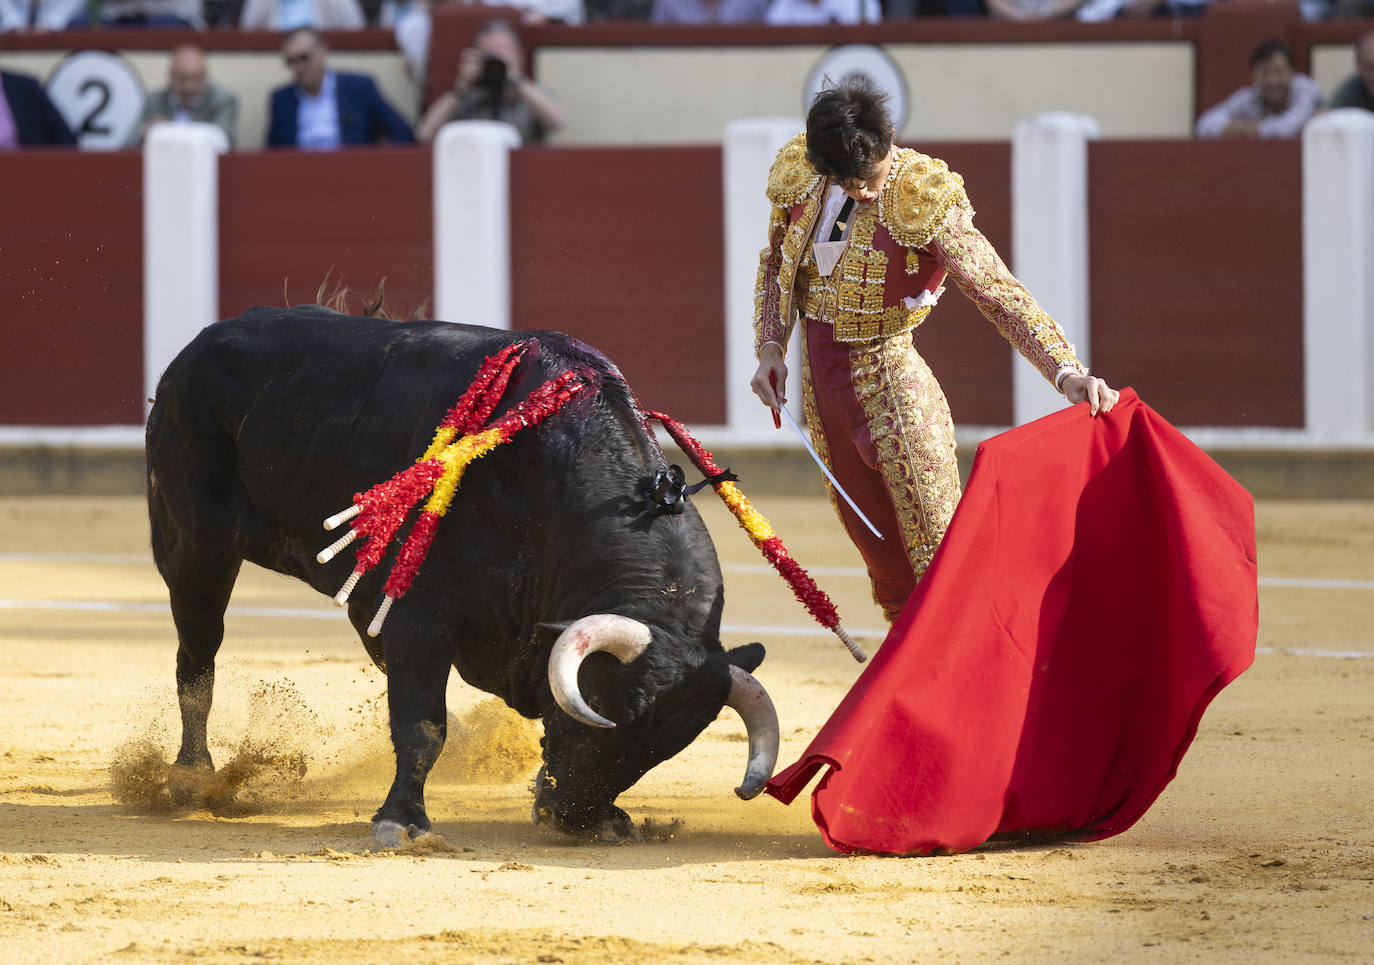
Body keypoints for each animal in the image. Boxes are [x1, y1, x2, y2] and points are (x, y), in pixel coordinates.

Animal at [147, 310, 785, 846]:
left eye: (663, 747)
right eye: (600, 702)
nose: (572, 817)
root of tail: (197, 348)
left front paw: (612, 819)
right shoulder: (421, 613)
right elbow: (422, 723)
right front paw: (401, 823)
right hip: (194, 551)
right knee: (196, 660)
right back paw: (192, 780)